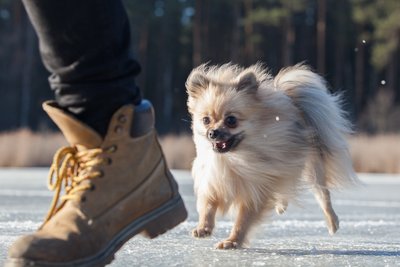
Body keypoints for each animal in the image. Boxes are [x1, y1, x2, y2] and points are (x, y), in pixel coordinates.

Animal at [186, 63, 358, 251]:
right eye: (206, 120)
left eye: (231, 120)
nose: (213, 133)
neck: (234, 158)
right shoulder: (212, 179)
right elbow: (208, 204)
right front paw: (203, 228)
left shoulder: (256, 189)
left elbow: (243, 220)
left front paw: (232, 241)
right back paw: (281, 205)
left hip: (312, 169)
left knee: (322, 194)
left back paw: (332, 222)